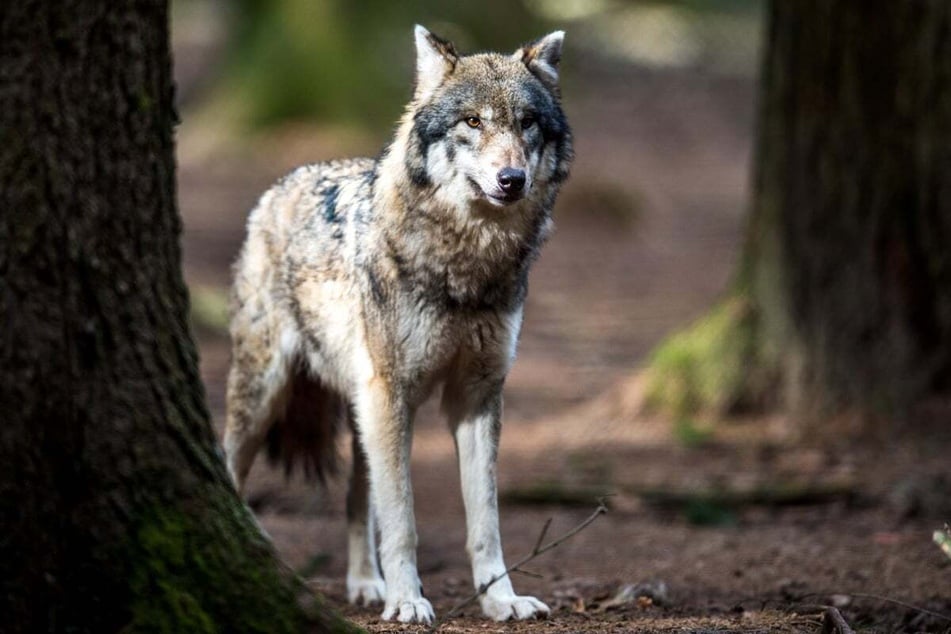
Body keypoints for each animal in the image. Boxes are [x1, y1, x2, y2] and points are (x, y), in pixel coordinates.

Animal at [222, 25, 573, 624]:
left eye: (527, 122)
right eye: (472, 122)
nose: (512, 180)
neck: (466, 266)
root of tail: (283, 183)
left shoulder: (476, 396)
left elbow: (486, 522)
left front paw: (500, 600)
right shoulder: (393, 394)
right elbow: (403, 520)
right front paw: (409, 600)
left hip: (363, 410)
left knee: (355, 500)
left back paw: (367, 584)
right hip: (268, 396)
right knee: (230, 467)